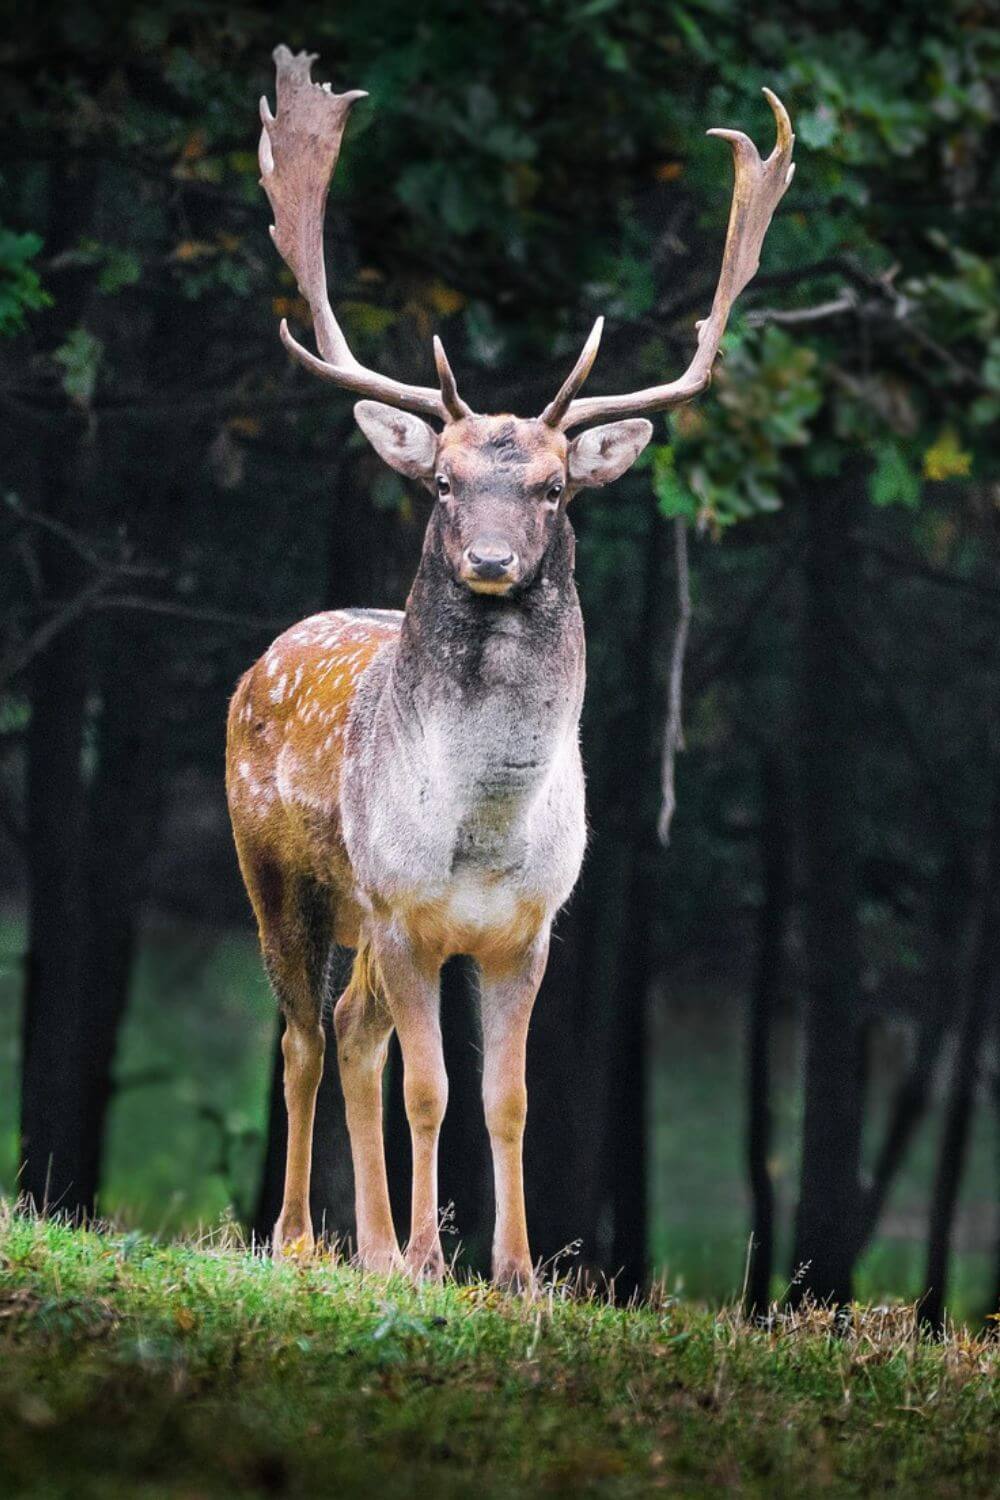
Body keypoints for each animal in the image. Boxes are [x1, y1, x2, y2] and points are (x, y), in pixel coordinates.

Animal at [226, 44, 794, 1287]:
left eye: (553, 487)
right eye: (442, 481)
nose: (489, 560)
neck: (481, 834)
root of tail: (265, 656)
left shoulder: (529, 928)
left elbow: (508, 1098)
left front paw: (516, 1271)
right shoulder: (402, 910)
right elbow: (430, 1090)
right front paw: (432, 1261)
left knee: (349, 1035)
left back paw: (370, 1248)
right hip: (280, 876)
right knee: (301, 1036)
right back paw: (301, 1240)